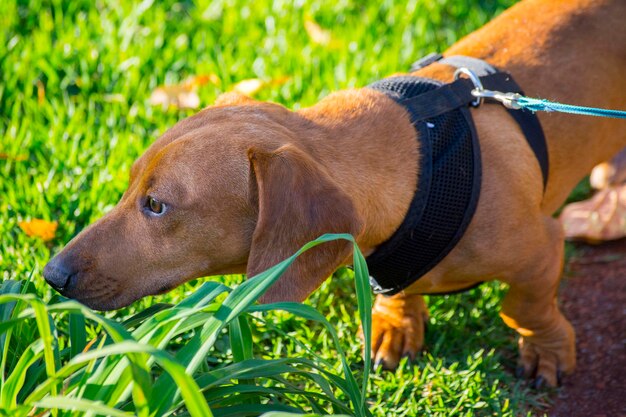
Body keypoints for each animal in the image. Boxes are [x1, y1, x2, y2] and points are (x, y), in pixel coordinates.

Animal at [45, 0, 624, 386]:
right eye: (129, 188)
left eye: (157, 205)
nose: (51, 275)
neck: (418, 156)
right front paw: (395, 324)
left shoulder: (541, 248)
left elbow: (524, 307)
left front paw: (546, 351)